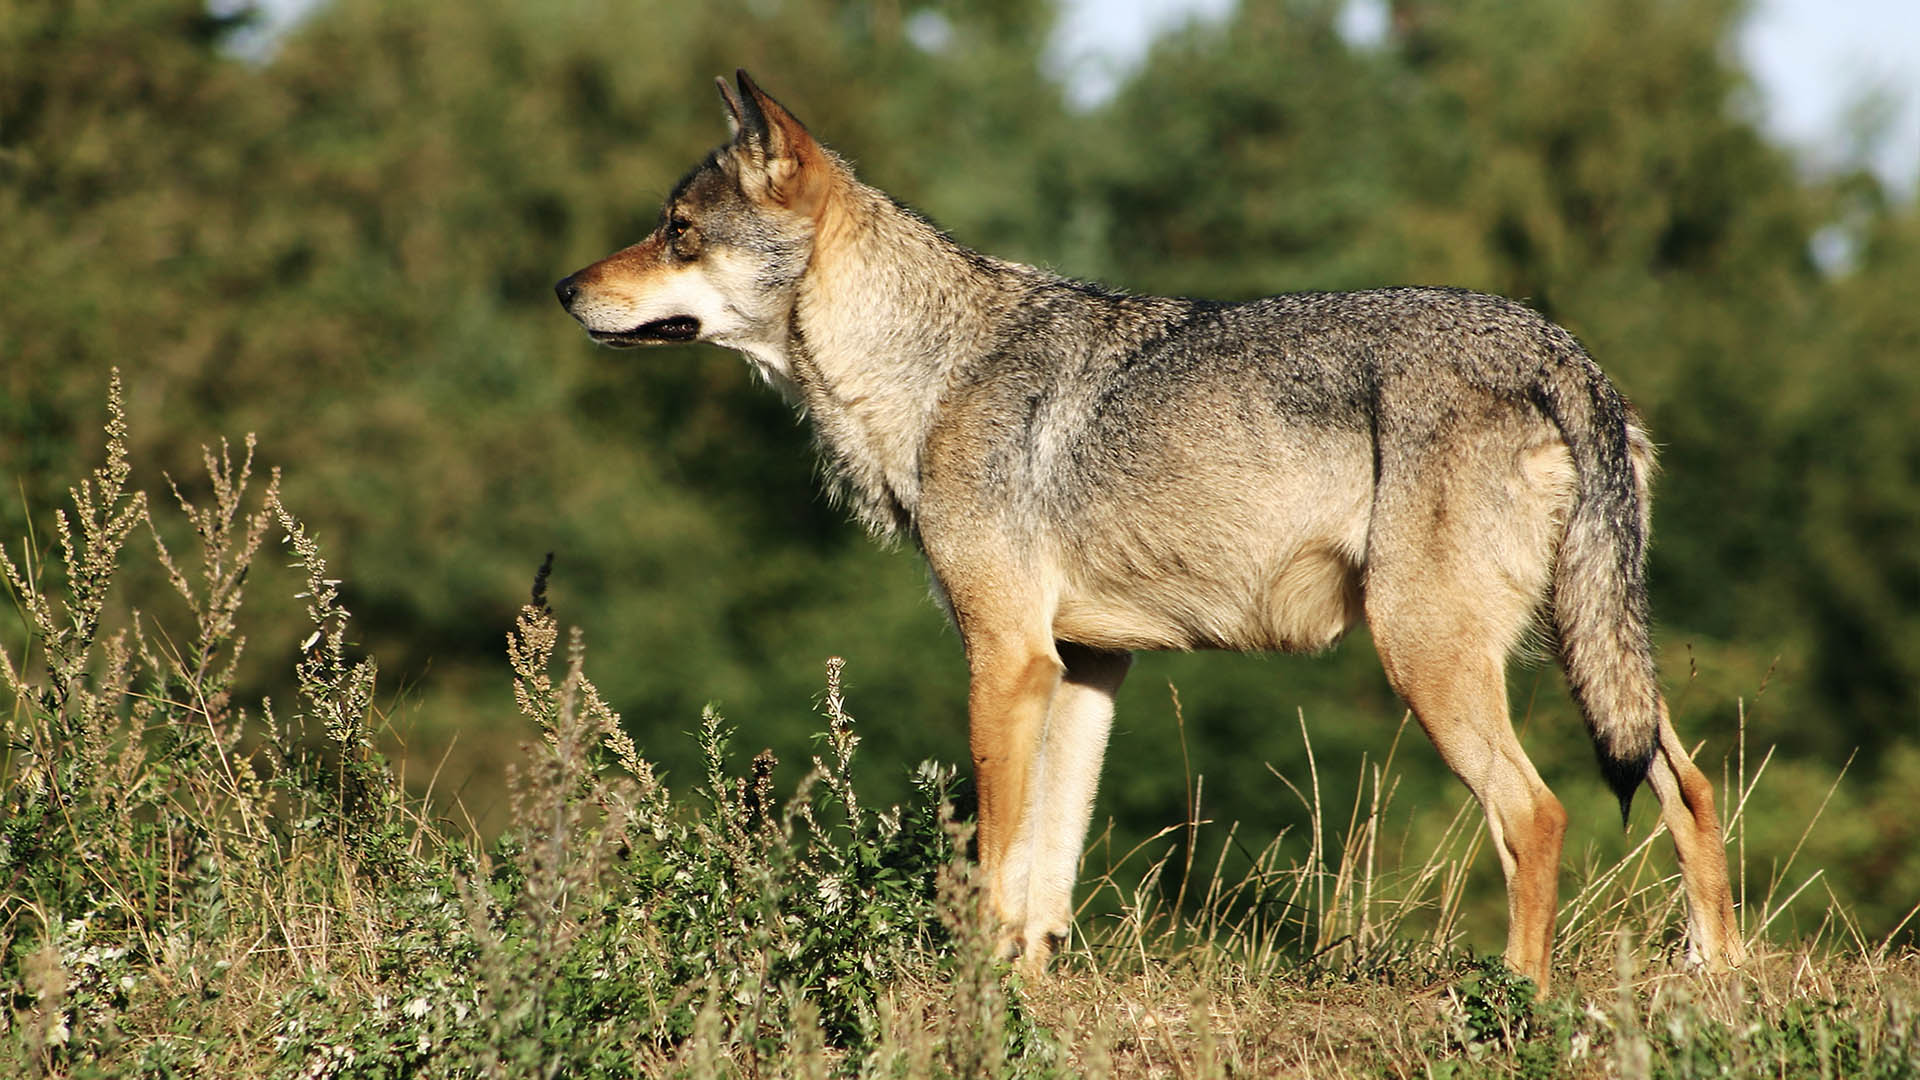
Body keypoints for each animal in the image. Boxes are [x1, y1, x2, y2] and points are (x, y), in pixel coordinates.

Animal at [555, 71, 1745, 991]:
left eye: (676, 234)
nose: (563, 287)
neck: (925, 372)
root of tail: (1564, 354)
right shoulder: (1086, 667)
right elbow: (1047, 870)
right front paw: (1026, 993)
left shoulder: (1008, 660)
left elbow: (996, 858)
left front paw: (973, 995)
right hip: (1586, 654)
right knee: (1688, 786)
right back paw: (1718, 978)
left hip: (1430, 660)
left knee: (1538, 815)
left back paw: (1516, 1000)